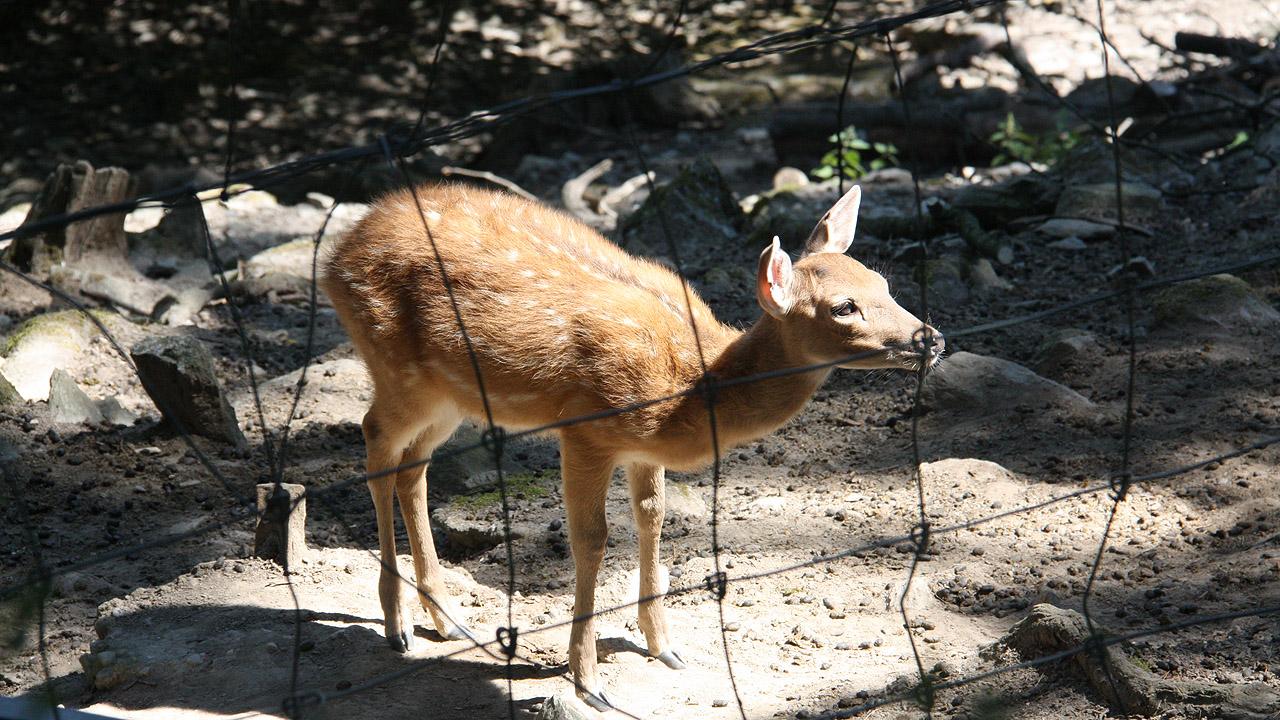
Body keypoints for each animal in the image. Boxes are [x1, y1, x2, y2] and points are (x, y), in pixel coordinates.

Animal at [320, 181, 943, 711]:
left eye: (884, 283)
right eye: (843, 307)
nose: (932, 338)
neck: (692, 385)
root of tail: (336, 255)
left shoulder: (642, 450)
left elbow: (653, 517)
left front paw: (664, 647)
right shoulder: (586, 428)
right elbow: (592, 541)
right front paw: (588, 681)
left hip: (448, 394)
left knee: (412, 467)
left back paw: (445, 618)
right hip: (395, 366)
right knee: (375, 442)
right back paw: (397, 626)